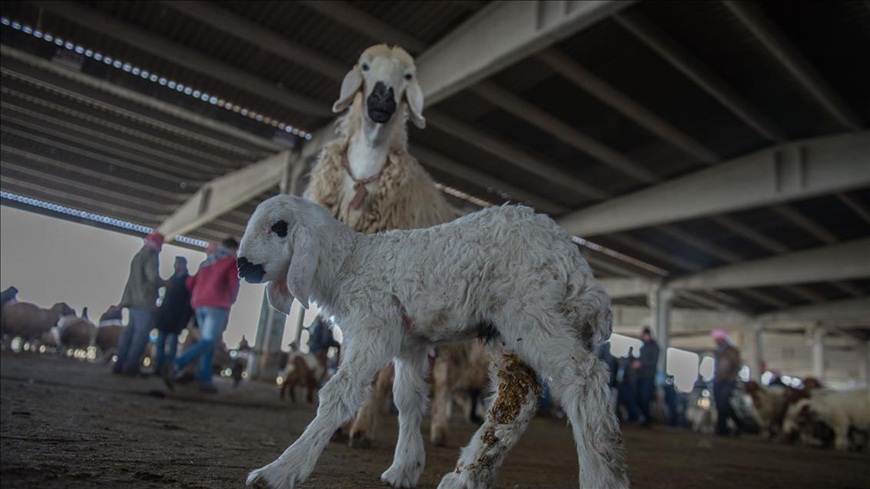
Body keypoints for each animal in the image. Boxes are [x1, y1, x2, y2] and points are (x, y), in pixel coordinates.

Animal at [238, 194, 632, 488]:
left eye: (279, 227)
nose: (242, 266)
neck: (349, 264)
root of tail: (573, 262)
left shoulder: (374, 324)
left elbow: (339, 393)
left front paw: (279, 471)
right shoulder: (409, 342)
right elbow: (408, 399)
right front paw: (404, 468)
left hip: (529, 307)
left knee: (581, 377)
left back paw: (601, 479)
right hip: (510, 325)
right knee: (519, 394)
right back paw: (466, 476)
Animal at [304, 43, 484, 448]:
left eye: (408, 76)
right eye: (365, 66)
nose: (382, 97)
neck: (366, 177)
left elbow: (381, 371)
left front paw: (360, 428)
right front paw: (343, 426)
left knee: (444, 379)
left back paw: (438, 431)